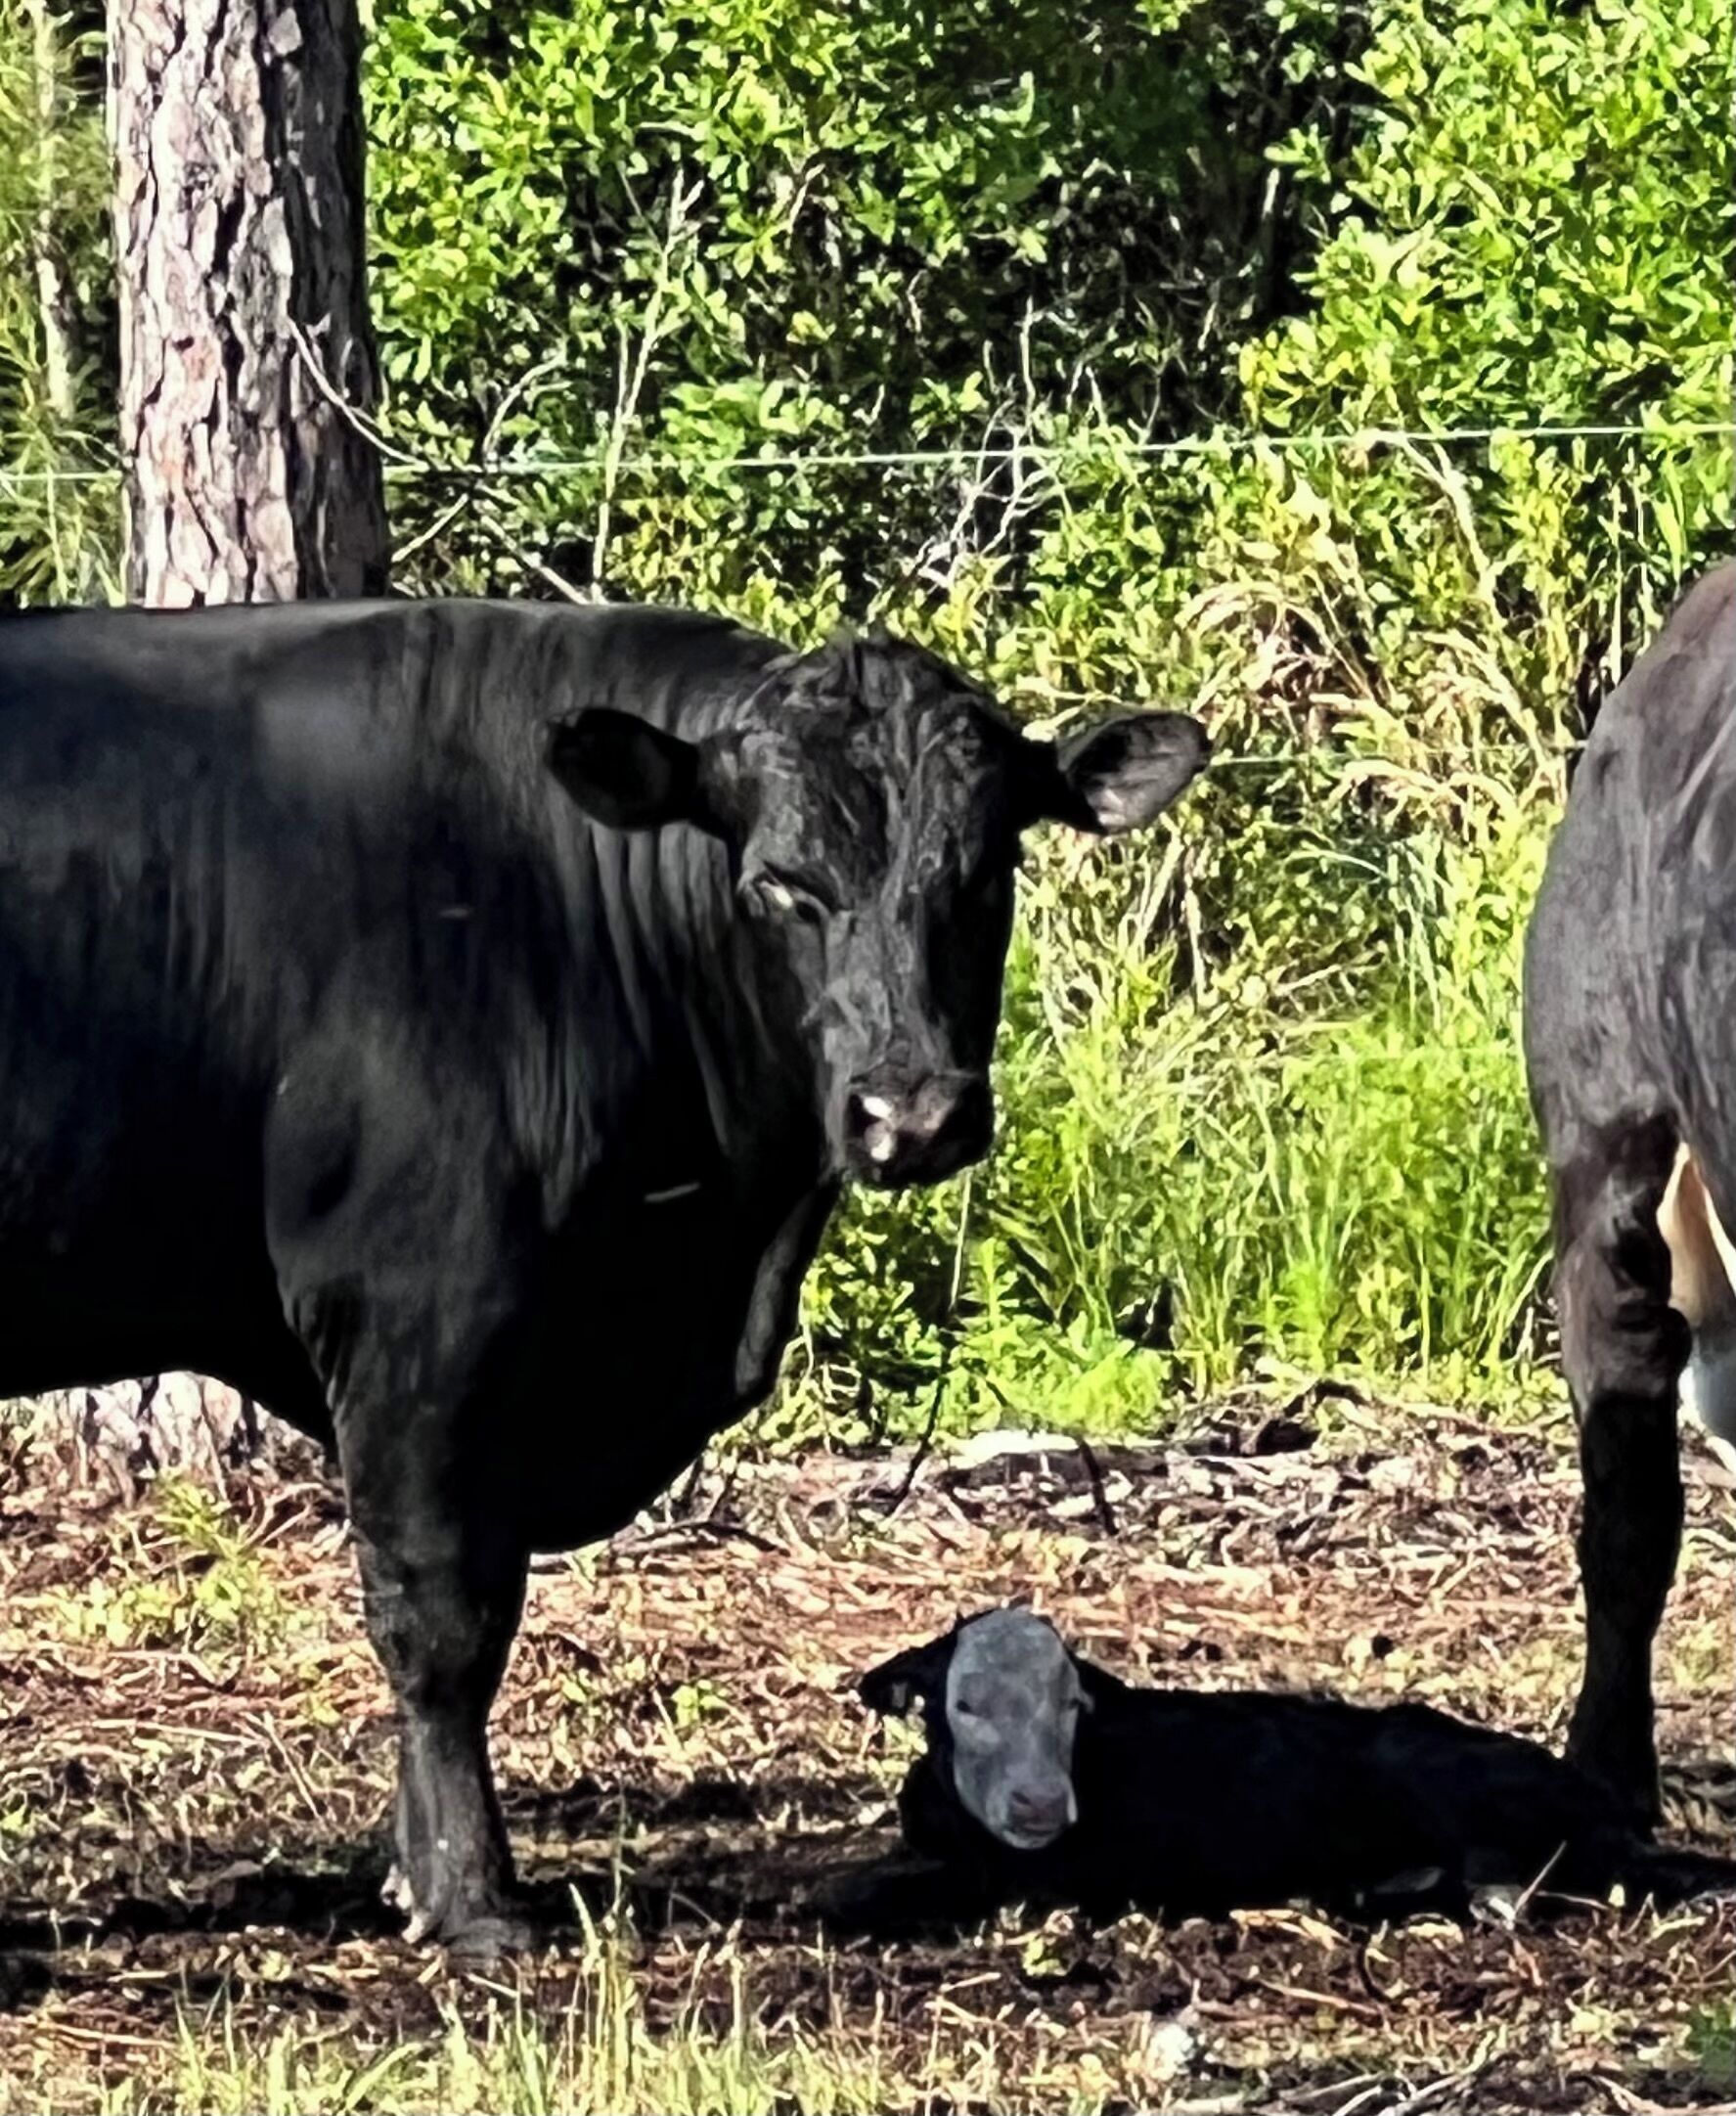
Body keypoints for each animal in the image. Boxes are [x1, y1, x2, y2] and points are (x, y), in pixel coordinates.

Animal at [0, 597, 1208, 1952]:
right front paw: (470, 1899)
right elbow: (441, 1619)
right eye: (777, 885)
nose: (914, 1114)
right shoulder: (418, 1313)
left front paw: (412, 1877)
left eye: (985, 873)